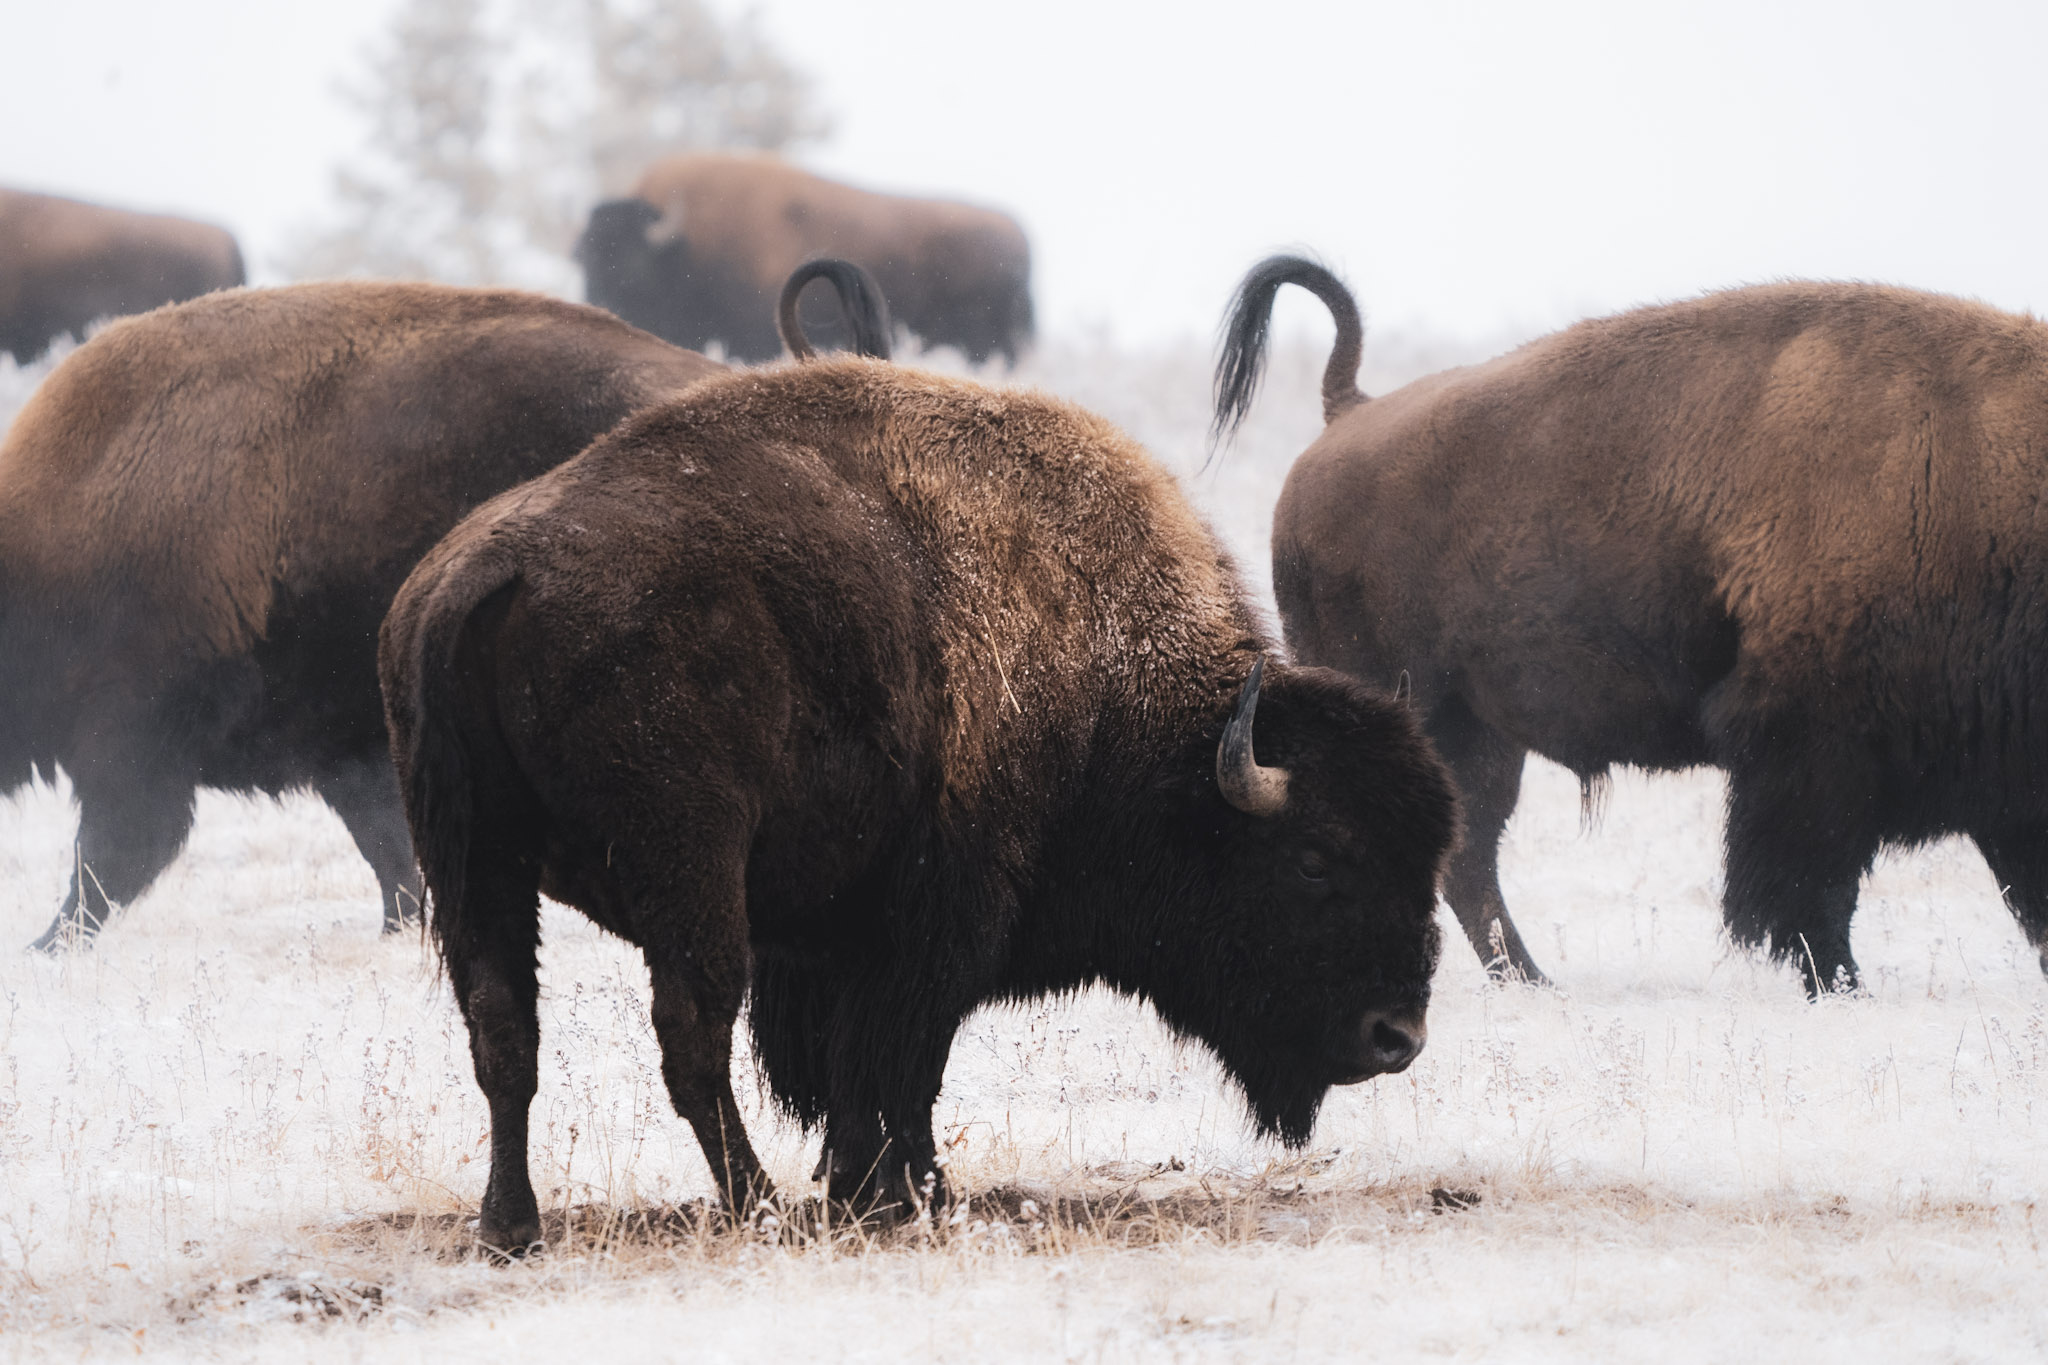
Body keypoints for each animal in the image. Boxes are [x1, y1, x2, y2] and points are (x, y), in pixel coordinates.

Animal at [380, 349, 1458, 1252]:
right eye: (1314, 859)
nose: (1397, 1038)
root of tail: (494, 571)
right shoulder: (938, 923)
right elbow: (901, 1065)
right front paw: (903, 1194)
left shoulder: (837, 939)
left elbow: (858, 1071)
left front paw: (872, 1187)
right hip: (687, 864)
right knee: (689, 1033)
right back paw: (757, 1206)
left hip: (475, 862)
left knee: (504, 1030)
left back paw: (511, 1223)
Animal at [1212, 255, 2048, 998]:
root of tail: (1348, 411)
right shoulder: (1814, 752)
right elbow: (1809, 893)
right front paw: (1841, 986)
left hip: (1478, 732)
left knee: (1468, 852)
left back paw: (1533, 981)